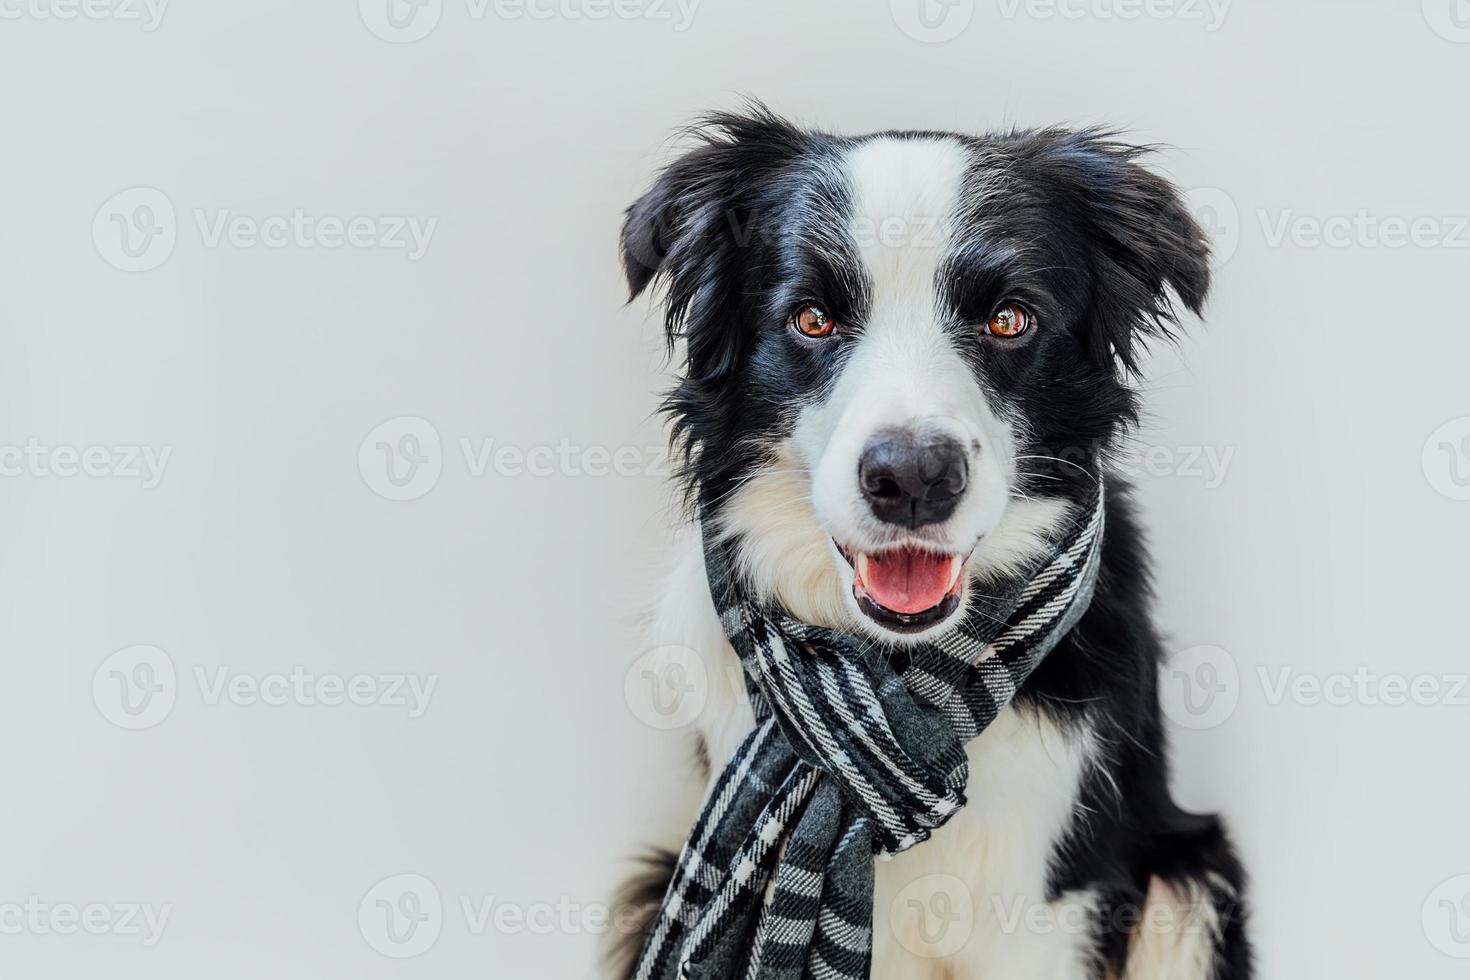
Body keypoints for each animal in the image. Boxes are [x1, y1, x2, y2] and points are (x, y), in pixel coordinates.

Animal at [608, 107, 1252, 980]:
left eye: (1009, 318)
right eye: (812, 318)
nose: (912, 477)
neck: (899, 684)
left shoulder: (1048, 908)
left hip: (1188, 885)